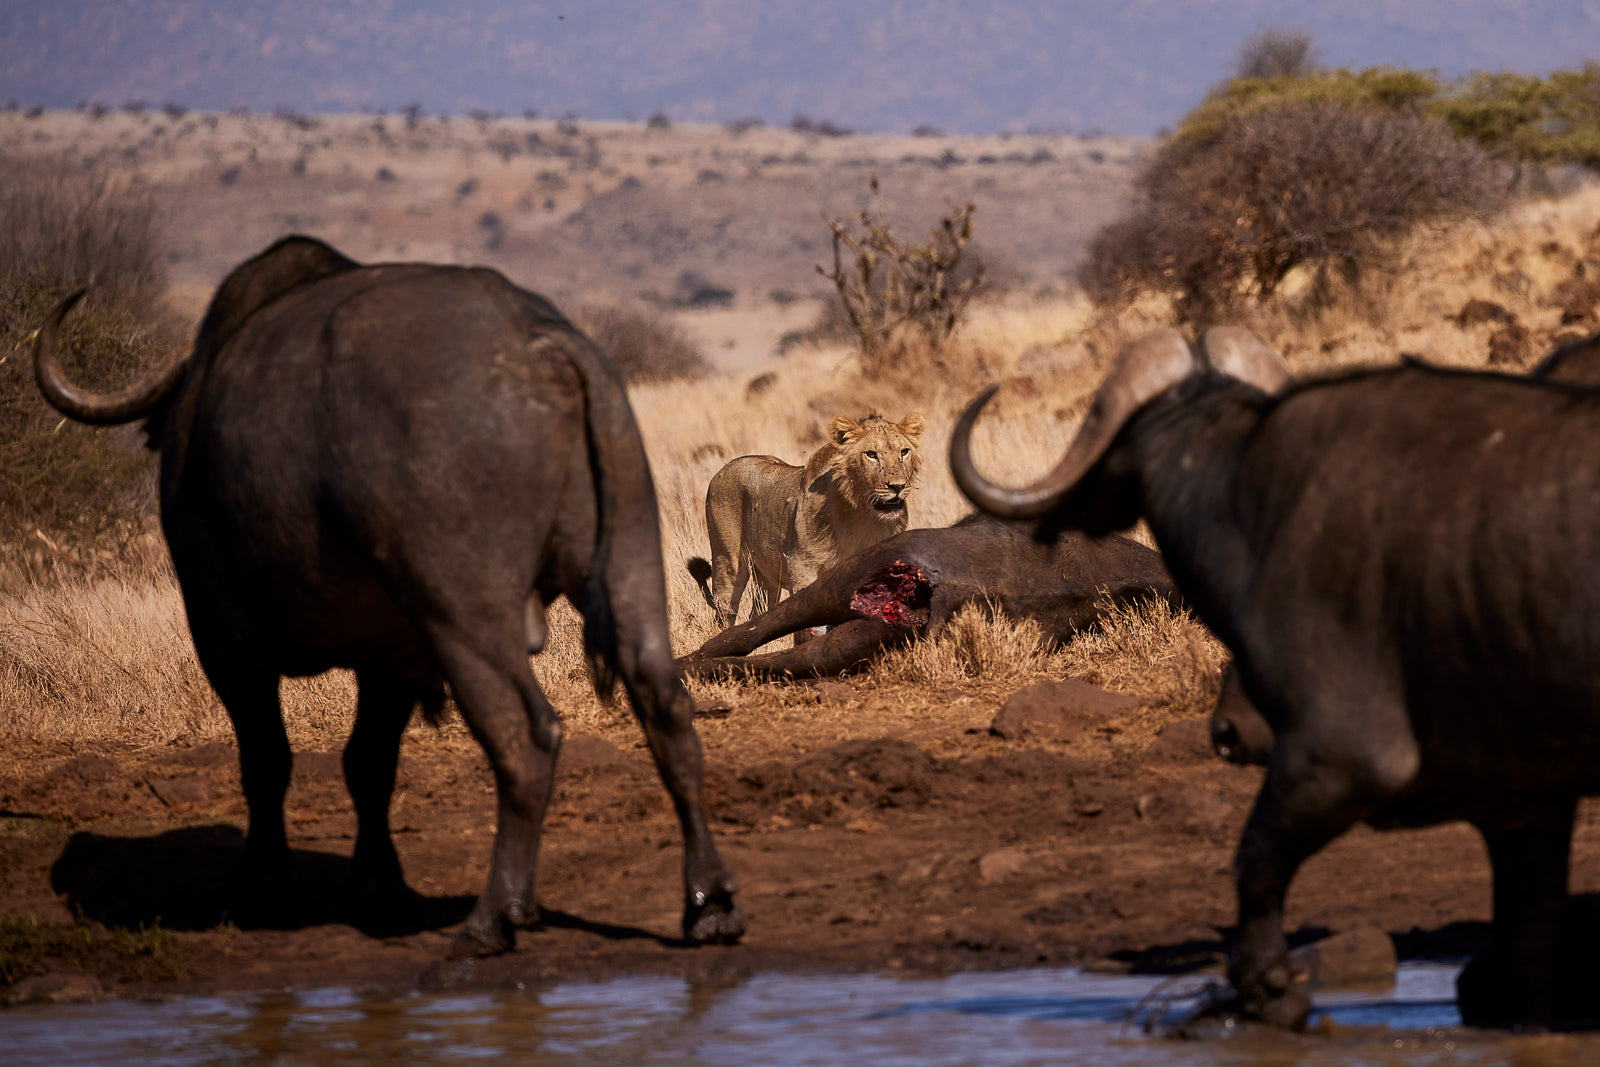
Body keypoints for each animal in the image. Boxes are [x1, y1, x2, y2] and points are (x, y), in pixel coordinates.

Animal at [33, 236, 743, 957]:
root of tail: (541, 345)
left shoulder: (224, 635)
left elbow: (267, 759)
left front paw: (262, 887)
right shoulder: (392, 656)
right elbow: (368, 761)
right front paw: (378, 884)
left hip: (462, 616)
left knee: (526, 735)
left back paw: (493, 916)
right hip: (628, 565)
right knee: (665, 704)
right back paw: (708, 905)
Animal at [688, 412, 925, 628]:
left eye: (904, 452)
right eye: (871, 454)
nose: (898, 486)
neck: (864, 518)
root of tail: (725, 467)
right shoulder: (801, 566)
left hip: (767, 579)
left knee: (757, 615)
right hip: (728, 562)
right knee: (724, 614)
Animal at [953, 326, 1600, 1029]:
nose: (1227, 733)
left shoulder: (1343, 756)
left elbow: (1254, 862)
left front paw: (1269, 989)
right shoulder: (1525, 802)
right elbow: (1530, 956)